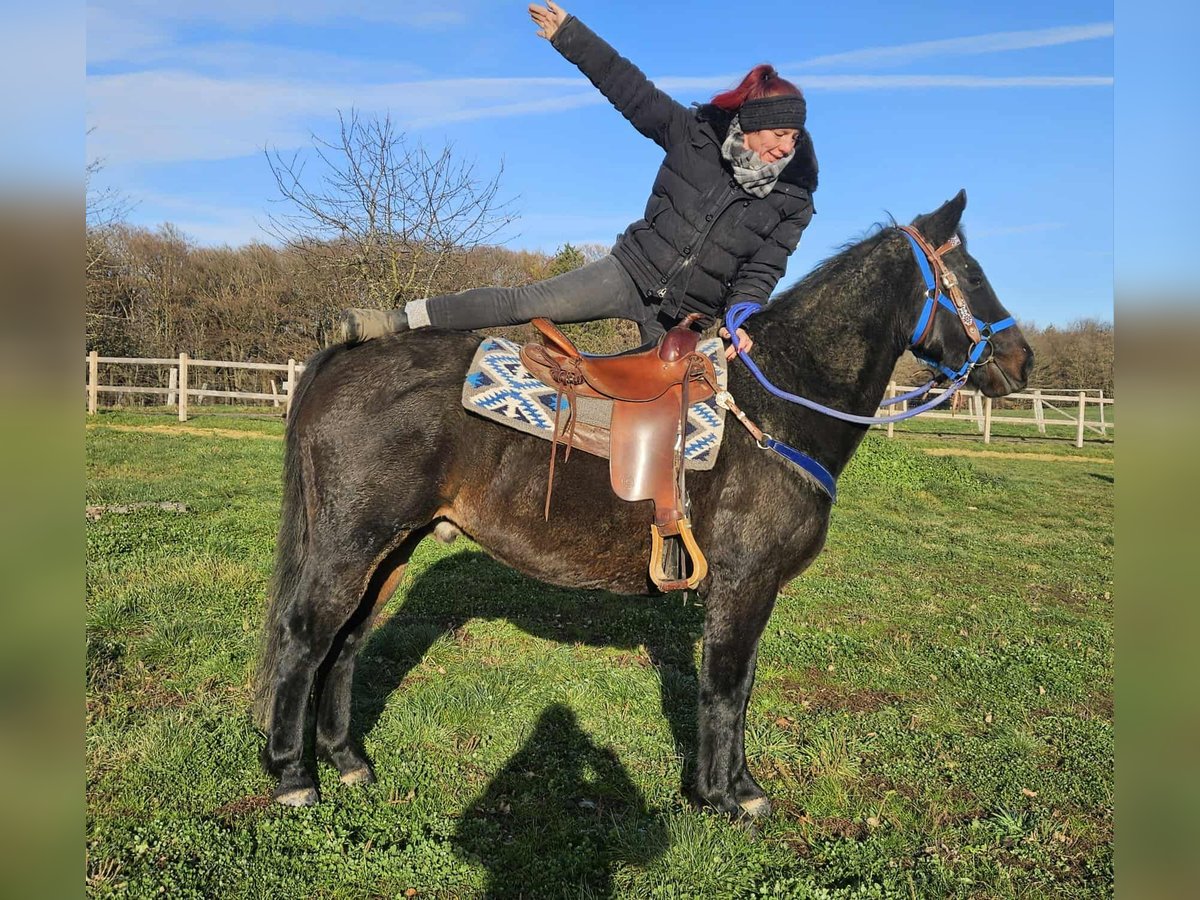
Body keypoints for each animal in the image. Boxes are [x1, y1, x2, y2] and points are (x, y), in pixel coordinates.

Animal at [253, 190, 1033, 818]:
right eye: (972, 276)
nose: (1021, 360)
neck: (778, 405)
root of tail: (348, 357)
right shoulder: (745, 583)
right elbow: (726, 685)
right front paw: (724, 796)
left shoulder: (751, 589)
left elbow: (739, 683)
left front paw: (734, 787)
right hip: (352, 541)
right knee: (305, 636)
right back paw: (294, 777)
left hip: (394, 544)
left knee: (348, 640)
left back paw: (349, 763)